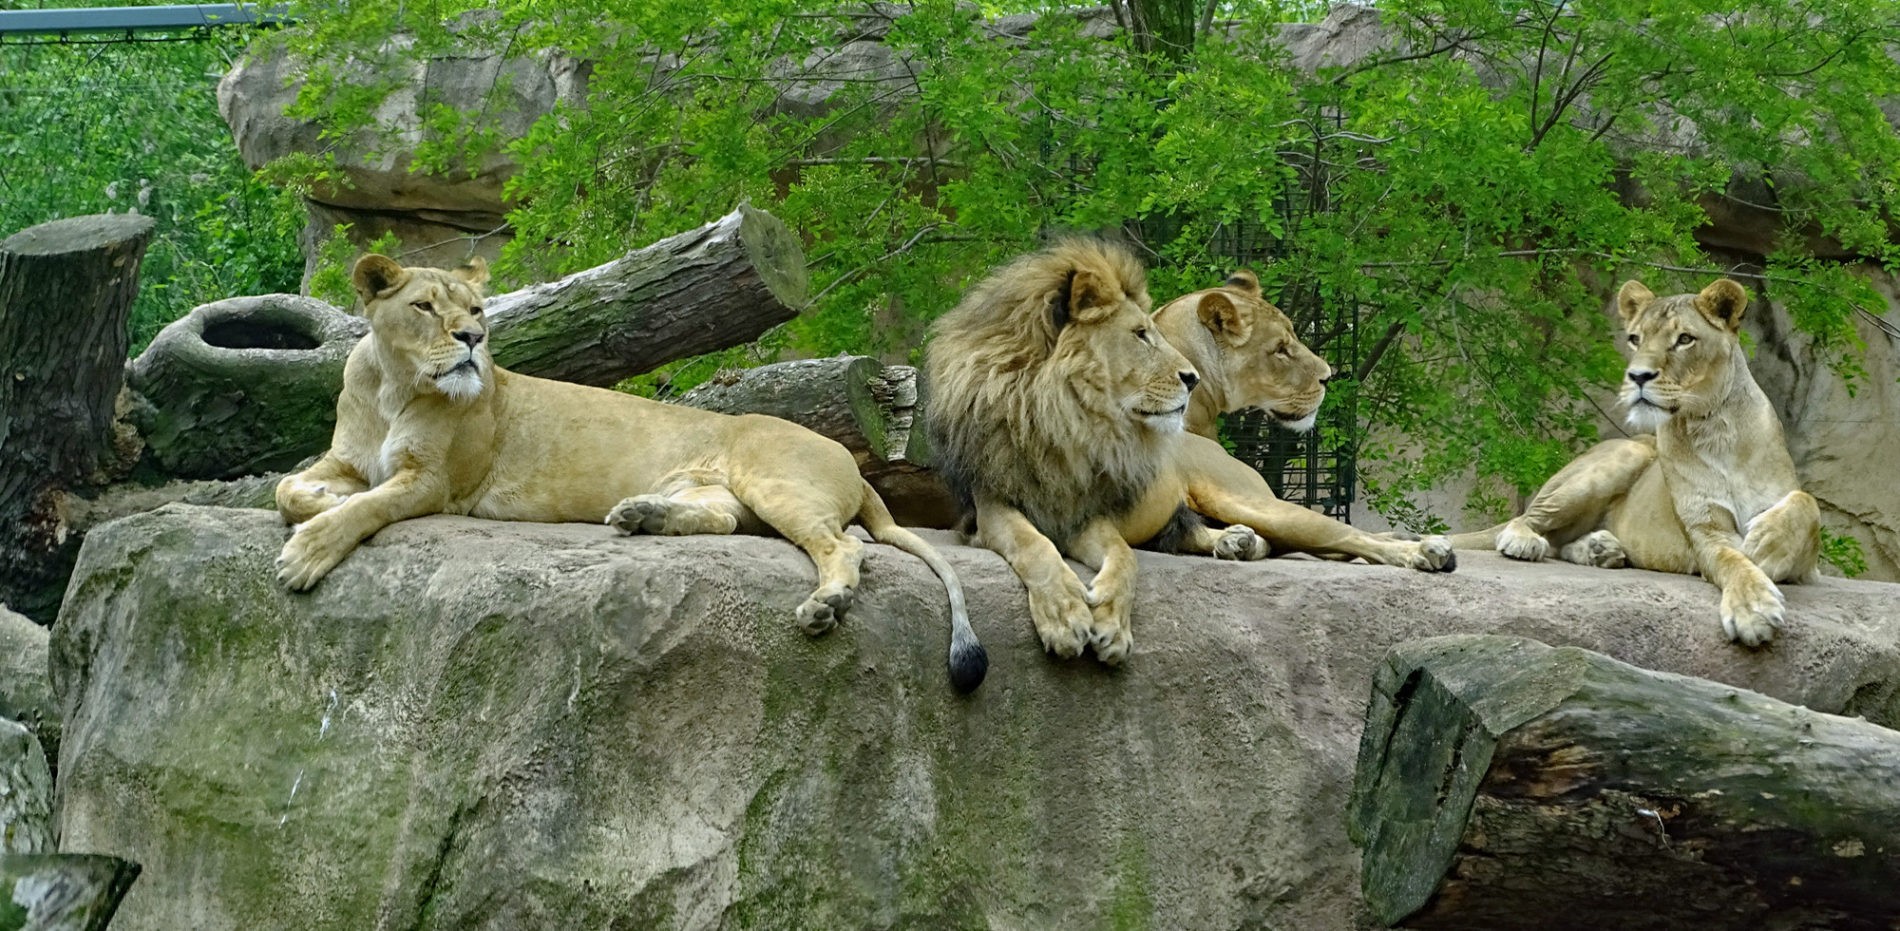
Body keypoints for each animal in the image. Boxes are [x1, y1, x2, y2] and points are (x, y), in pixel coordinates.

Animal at [281, 254, 995, 691]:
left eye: (478, 311)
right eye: (426, 308)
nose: (472, 341)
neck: (393, 386)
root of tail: (855, 460)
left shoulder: (436, 482)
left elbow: (369, 505)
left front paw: (306, 554)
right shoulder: (346, 459)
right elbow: (290, 488)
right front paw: (312, 508)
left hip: (776, 482)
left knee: (845, 545)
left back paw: (826, 604)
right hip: (719, 490)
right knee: (725, 519)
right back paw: (639, 513)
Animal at [1451, 273, 1824, 642]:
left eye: (1684, 339)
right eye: (1635, 339)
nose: (1638, 376)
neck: (1715, 428)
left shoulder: (1809, 569)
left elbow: (1807, 503)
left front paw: (1768, 543)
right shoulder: (1705, 530)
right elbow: (1734, 562)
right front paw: (1753, 608)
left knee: (1558, 542)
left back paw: (1601, 549)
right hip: (1628, 453)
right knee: (1525, 520)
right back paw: (1526, 541)